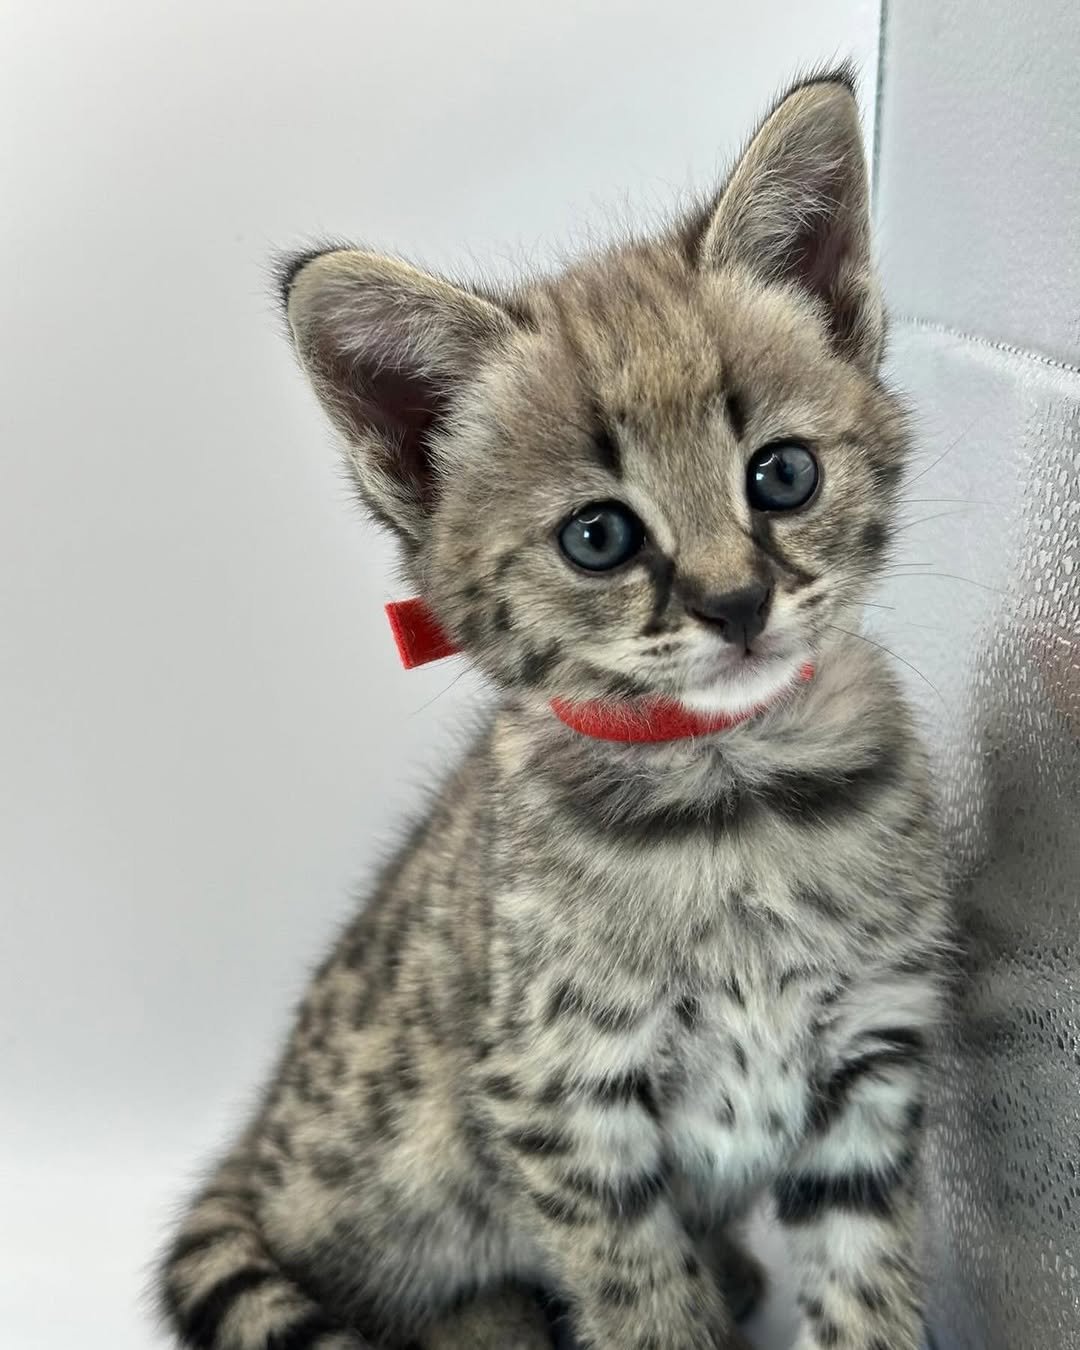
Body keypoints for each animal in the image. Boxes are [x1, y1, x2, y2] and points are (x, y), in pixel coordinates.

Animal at [158, 66, 948, 1350]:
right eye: (599, 537)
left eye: (783, 474)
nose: (737, 603)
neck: (732, 800)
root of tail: (256, 1137)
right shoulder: (562, 1095)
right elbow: (642, 1299)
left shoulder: (872, 1056)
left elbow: (866, 1284)